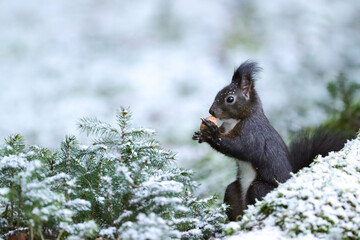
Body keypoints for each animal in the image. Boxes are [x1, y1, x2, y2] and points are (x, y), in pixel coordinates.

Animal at [193, 60, 348, 221]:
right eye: (218, 93)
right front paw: (200, 134)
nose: (211, 111)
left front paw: (211, 133)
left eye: (230, 98)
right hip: (233, 192)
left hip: (260, 189)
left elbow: (237, 147)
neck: (235, 121)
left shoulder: (252, 133)